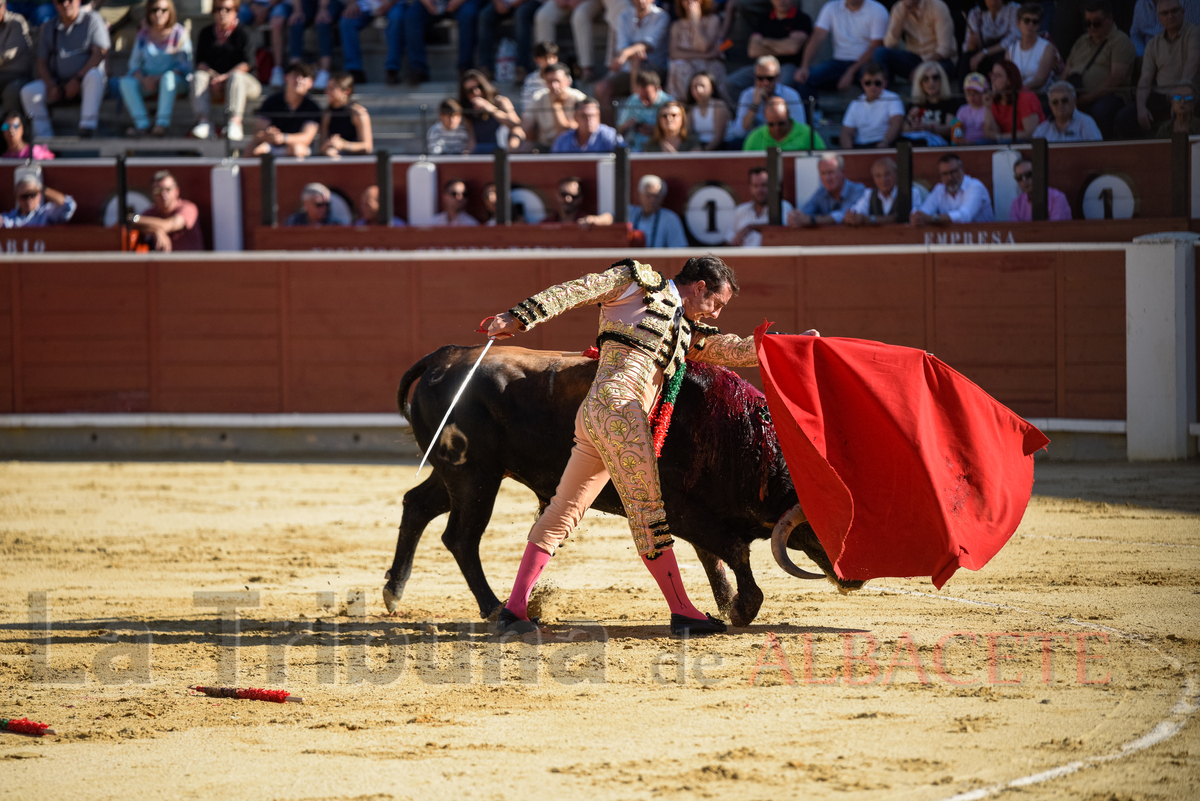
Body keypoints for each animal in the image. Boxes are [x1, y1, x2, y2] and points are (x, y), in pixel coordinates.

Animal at [384, 345, 864, 623]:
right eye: (823, 524)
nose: (855, 578)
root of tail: (443, 359)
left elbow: (712, 557)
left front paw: (724, 604)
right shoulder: (677, 506)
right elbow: (730, 550)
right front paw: (741, 608)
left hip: (459, 473)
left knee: (417, 505)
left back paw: (394, 591)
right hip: (473, 475)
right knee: (461, 537)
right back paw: (495, 608)